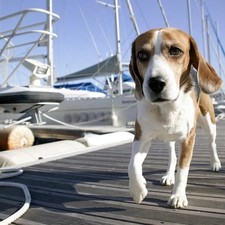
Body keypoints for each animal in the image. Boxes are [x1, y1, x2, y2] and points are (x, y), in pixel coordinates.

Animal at [128, 28, 223, 209]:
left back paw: (215, 163)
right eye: (141, 55)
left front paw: (178, 196)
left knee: (212, 143)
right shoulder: (141, 137)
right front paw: (138, 190)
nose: (155, 83)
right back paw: (168, 175)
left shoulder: (188, 138)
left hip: (209, 122)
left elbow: (183, 169)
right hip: (168, 138)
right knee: (172, 156)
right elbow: (132, 165)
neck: (167, 107)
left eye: (175, 51)